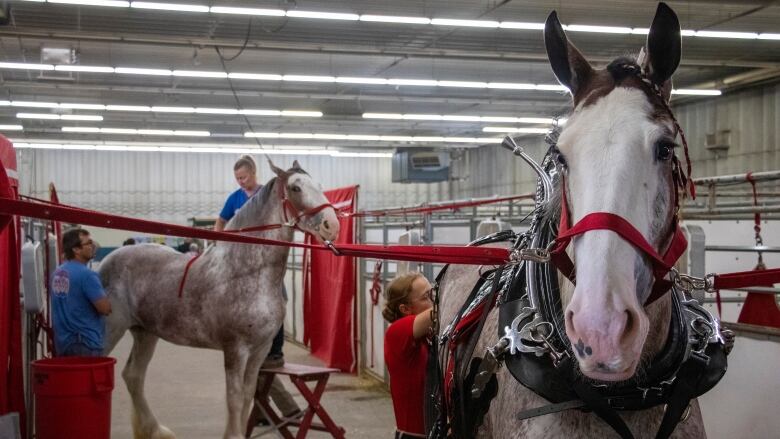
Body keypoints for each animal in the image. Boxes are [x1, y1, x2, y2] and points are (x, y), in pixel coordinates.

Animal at [99, 161, 340, 439]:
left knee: (133, 376)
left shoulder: (260, 349)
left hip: (145, 333)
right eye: (295, 188)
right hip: (110, 329)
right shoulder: (235, 349)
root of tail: (108, 261)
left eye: (319, 186)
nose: (331, 225)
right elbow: (234, 398)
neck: (246, 271)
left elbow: (248, 396)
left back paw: (155, 430)